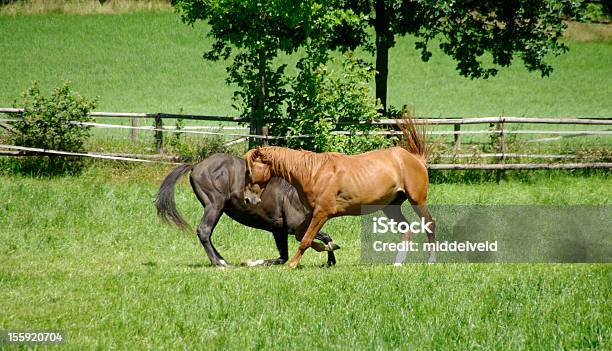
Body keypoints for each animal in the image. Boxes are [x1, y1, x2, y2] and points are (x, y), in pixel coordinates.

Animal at [155, 153, 340, 268]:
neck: (293, 192)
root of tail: (196, 166)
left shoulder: (279, 230)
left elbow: (283, 257)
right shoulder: (295, 227)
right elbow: (320, 238)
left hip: (218, 209)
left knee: (207, 233)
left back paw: (223, 260)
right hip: (214, 205)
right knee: (204, 231)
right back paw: (219, 263)